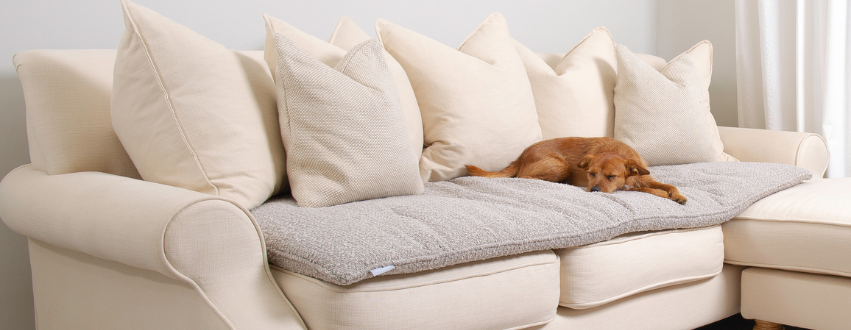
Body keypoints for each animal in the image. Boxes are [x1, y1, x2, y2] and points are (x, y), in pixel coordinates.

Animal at [462, 137, 688, 204]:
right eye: (590, 174)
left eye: (611, 176)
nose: (594, 190)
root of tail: (520, 156)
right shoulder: (632, 187)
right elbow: (652, 190)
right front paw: (665, 196)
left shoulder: (643, 178)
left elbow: (669, 185)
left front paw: (677, 195)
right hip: (560, 165)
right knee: (523, 177)